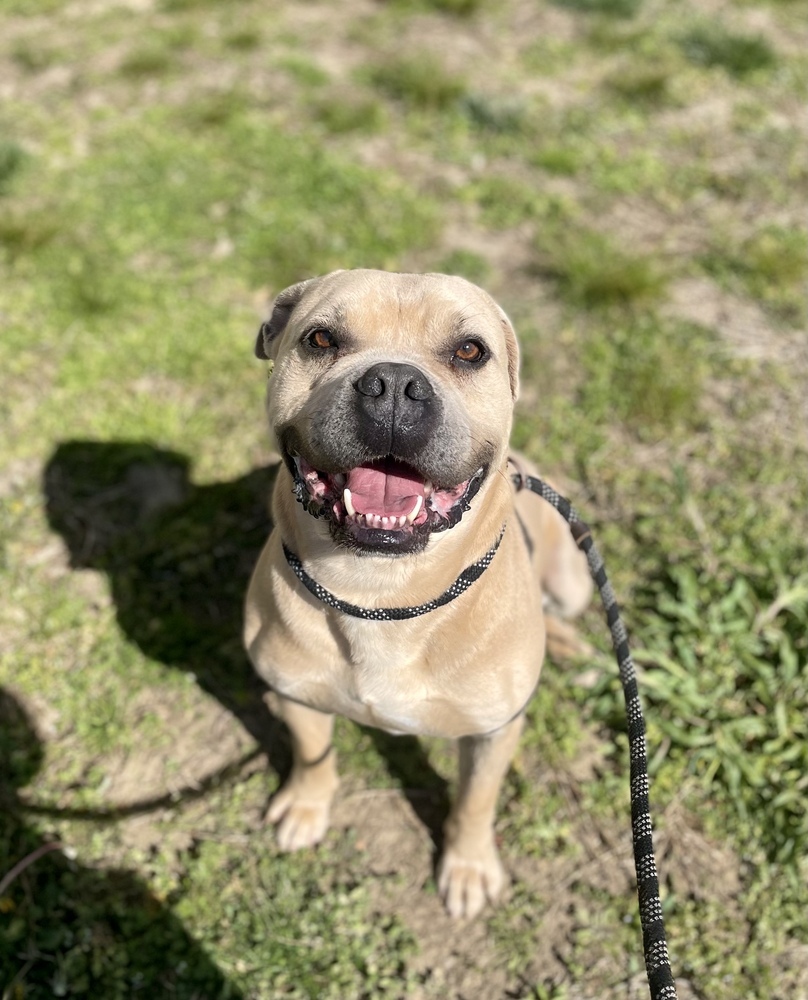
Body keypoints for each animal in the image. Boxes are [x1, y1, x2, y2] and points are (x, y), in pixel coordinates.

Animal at [243, 270, 592, 916]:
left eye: (471, 351)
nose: (393, 386)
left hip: (575, 580)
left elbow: (476, 801)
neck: (381, 594)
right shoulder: (297, 693)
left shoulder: (492, 732)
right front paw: (306, 803)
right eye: (320, 339)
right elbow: (311, 752)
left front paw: (468, 866)